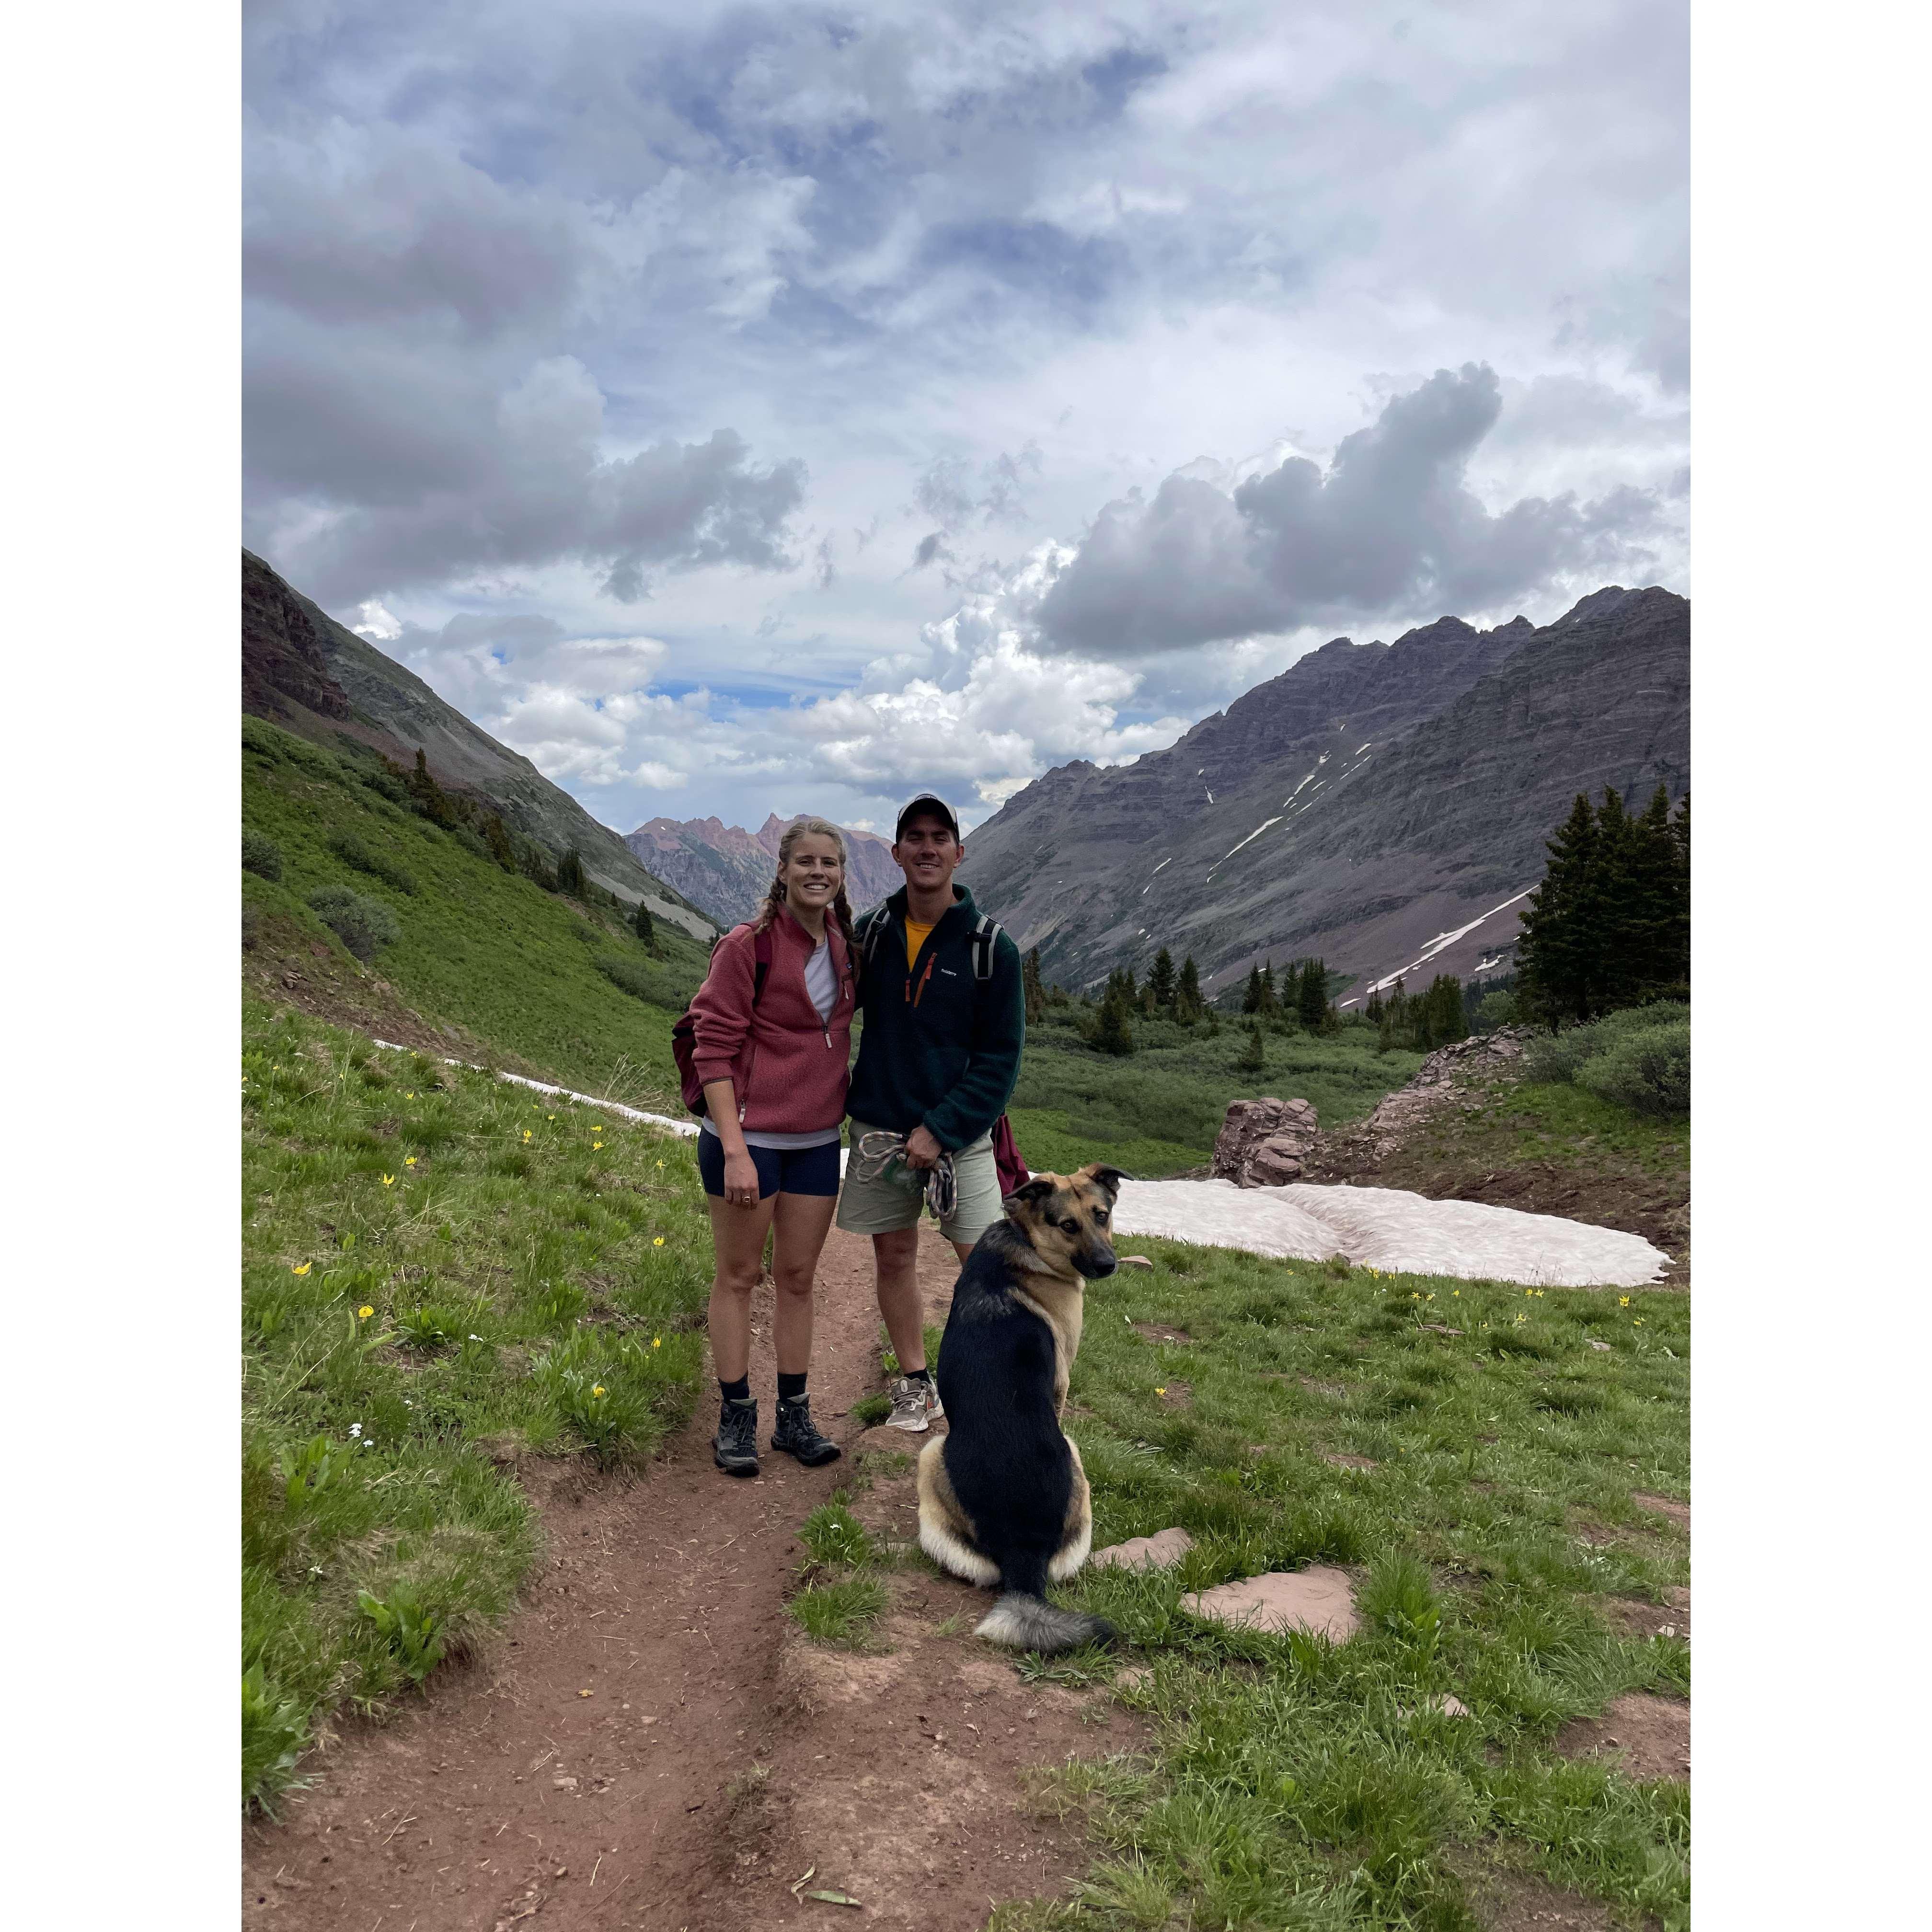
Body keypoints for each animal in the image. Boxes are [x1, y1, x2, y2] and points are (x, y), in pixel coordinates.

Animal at [923, 1159, 1128, 1646]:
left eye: (1101, 1216)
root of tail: (1024, 1552)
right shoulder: (1062, 1384)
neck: (1028, 1238)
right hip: (944, 1453)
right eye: (1068, 1225)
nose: (1107, 1265)